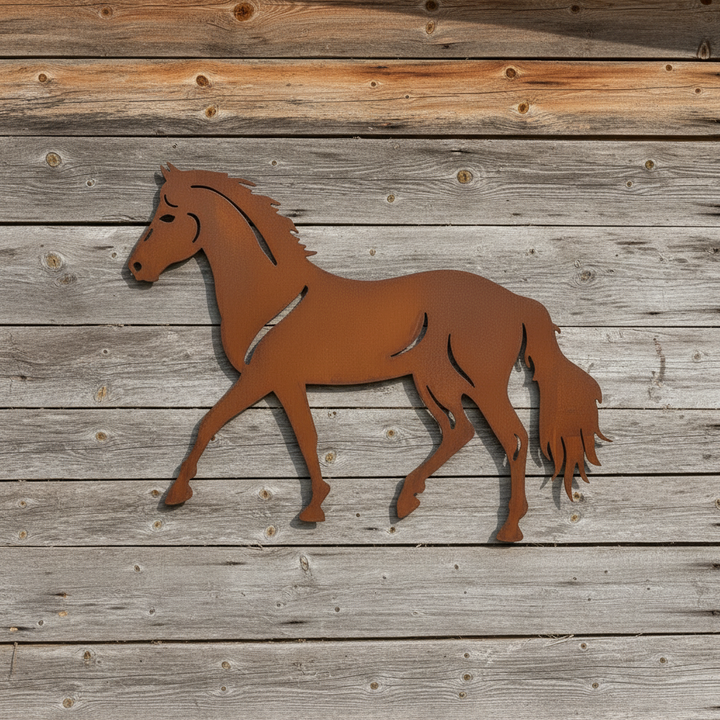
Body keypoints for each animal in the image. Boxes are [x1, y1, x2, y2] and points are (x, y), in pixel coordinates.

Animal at [128, 164, 608, 542]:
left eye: (167, 215)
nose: (136, 268)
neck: (270, 293)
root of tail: (518, 302)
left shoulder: (262, 376)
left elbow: (209, 422)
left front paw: (177, 493)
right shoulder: (285, 383)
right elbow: (304, 437)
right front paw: (315, 506)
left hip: (479, 383)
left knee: (511, 438)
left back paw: (508, 529)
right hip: (434, 382)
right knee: (459, 433)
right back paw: (407, 499)